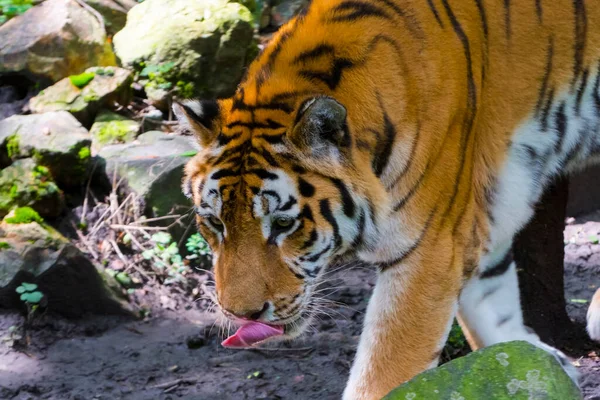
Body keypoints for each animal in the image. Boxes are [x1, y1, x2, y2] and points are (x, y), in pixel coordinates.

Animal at [175, 0, 600, 398]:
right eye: (215, 223)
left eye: (282, 224)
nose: (241, 314)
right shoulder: (480, 218)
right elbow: (493, 307)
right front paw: (541, 365)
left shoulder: (430, 248)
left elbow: (386, 369)